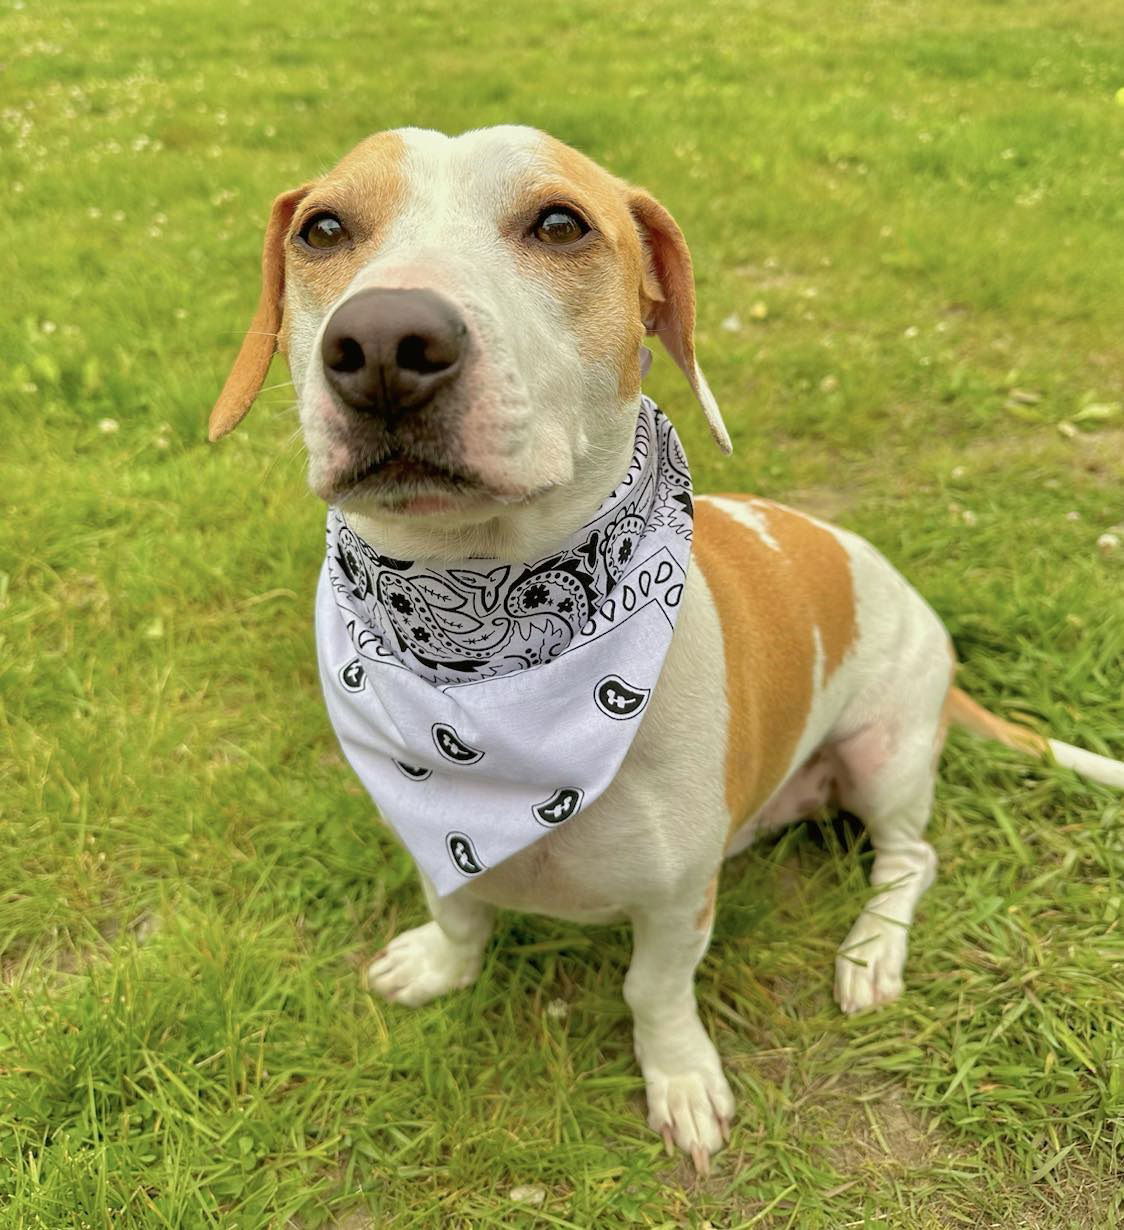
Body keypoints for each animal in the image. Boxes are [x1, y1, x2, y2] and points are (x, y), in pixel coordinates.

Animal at [210, 124, 1121, 1170]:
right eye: (322, 229)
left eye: (560, 223)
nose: (384, 345)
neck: (480, 653)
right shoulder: (439, 844)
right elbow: (459, 910)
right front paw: (441, 963)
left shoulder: (679, 898)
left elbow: (652, 991)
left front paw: (680, 1079)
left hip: (885, 753)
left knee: (910, 859)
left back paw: (871, 951)